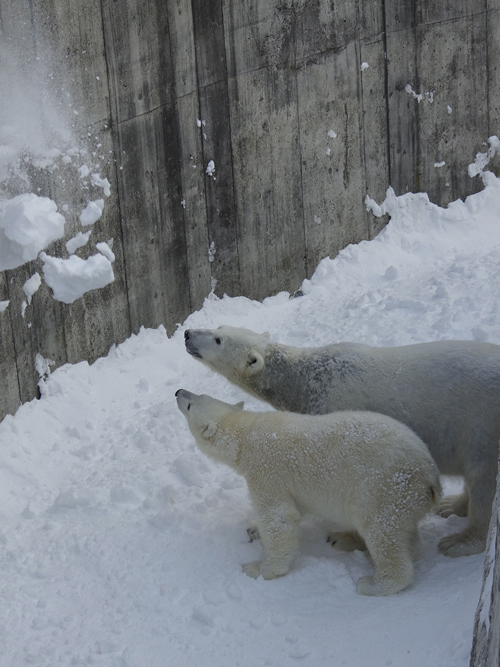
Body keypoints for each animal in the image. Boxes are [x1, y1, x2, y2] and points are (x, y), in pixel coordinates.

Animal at [176, 388, 442, 596]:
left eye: (190, 404)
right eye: (199, 394)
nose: (179, 392)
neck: (246, 435)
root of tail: (430, 474)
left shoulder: (267, 472)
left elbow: (279, 517)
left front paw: (258, 569)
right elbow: (294, 511)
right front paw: (254, 530)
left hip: (384, 488)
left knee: (383, 531)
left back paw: (372, 583)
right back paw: (342, 538)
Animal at [186, 324, 500, 560]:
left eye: (218, 339)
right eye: (219, 326)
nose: (188, 333)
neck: (305, 380)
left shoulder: (338, 412)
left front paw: (344, 537)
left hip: (483, 424)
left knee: (484, 479)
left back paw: (460, 540)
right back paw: (451, 505)